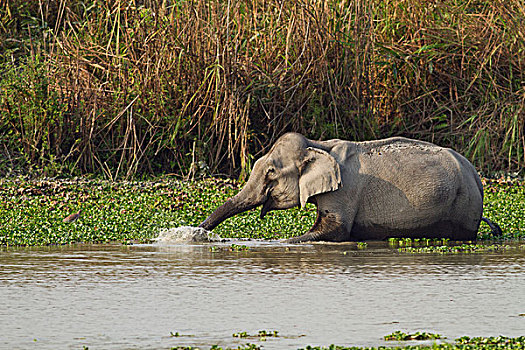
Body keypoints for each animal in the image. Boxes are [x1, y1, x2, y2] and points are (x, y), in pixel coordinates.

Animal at [199, 133, 502, 242]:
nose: (196, 233)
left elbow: (334, 231)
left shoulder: (344, 191)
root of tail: (476, 175)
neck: (318, 145)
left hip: (463, 206)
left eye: (271, 173)